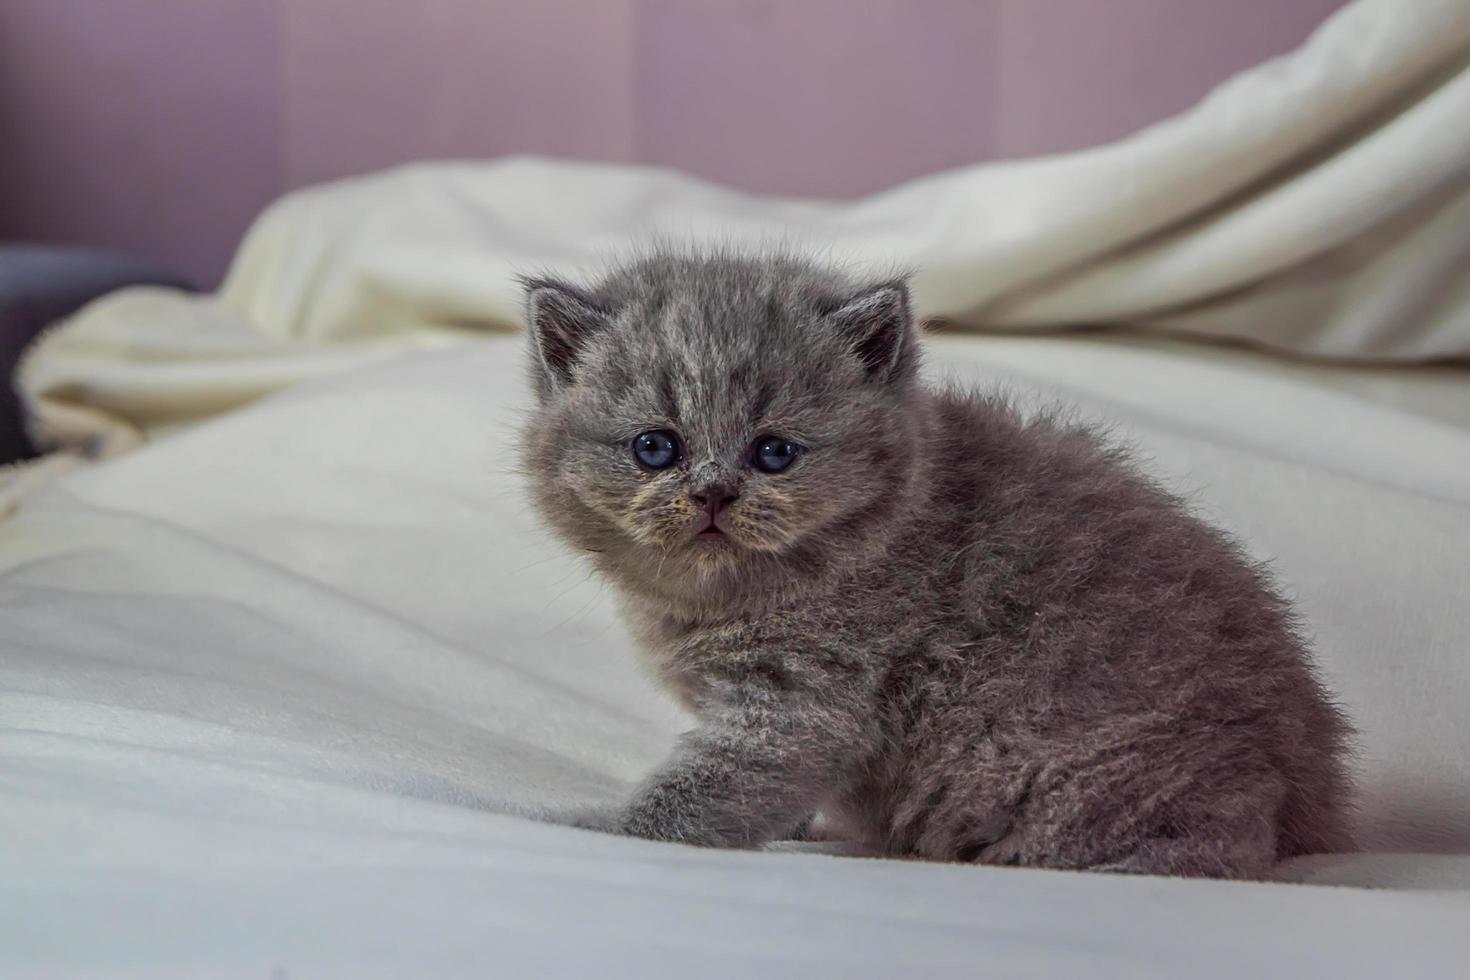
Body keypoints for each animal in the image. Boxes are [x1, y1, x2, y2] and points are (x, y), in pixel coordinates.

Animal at [520, 249, 1352, 875]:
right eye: (654, 447)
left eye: (775, 453)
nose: (714, 492)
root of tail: (1315, 796)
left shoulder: (802, 708)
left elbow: (698, 798)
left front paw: (582, 825)